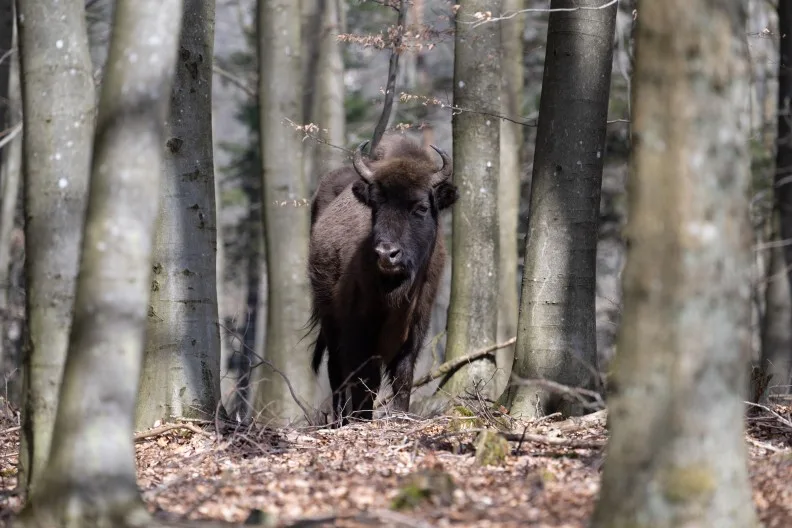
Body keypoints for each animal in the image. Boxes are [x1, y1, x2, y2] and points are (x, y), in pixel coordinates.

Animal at [307, 133, 458, 424]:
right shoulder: (358, 329)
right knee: (336, 372)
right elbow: (364, 380)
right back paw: (340, 419)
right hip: (329, 320)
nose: (386, 254)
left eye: (422, 207)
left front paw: (399, 415)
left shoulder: (416, 328)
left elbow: (402, 377)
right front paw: (362, 418)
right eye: (375, 205)